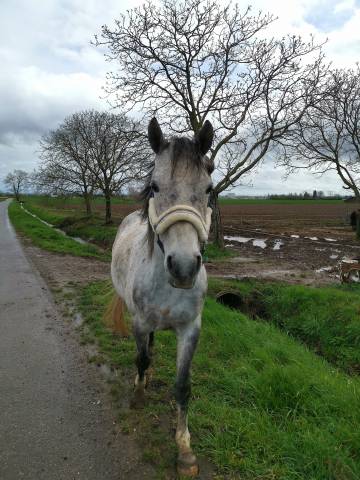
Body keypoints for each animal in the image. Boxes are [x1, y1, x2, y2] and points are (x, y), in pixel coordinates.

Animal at [109, 117, 214, 476]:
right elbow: (140, 358)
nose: (183, 266)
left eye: (209, 189)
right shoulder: (140, 322)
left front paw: (185, 450)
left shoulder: (191, 330)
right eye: (154, 187)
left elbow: (183, 386)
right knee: (146, 351)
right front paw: (139, 396)